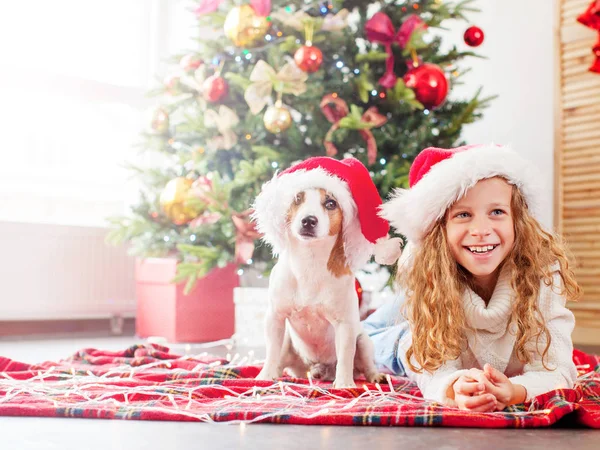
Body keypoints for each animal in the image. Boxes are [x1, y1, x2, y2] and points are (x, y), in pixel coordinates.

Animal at [251, 157, 400, 386]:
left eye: (331, 203)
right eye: (297, 198)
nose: (308, 220)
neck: (309, 262)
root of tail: (320, 369)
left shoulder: (345, 325)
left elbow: (345, 356)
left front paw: (344, 384)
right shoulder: (275, 317)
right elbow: (271, 351)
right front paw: (265, 375)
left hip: (363, 341)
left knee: (365, 364)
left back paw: (374, 376)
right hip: (289, 343)